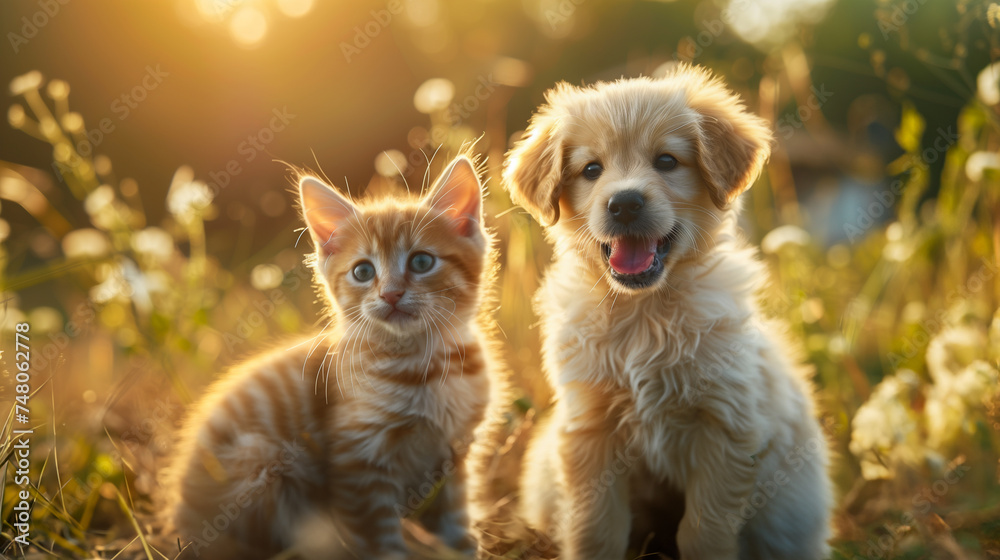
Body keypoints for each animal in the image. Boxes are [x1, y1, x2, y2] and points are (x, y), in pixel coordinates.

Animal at [161, 155, 500, 556]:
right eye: (363, 271)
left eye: (421, 262)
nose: (390, 294)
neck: (425, 366)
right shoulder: (358, 461)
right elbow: (380, 540)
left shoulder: (453, 452)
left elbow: (454, 512)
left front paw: (461, 546)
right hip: (257, 458)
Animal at [504, 65, 832, 560]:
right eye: (591, 169)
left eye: (666, 161)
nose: (624, 203)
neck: (645, 312)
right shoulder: (590, 430)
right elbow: (594, 529)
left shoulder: (727, 426)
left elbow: (704, 532)